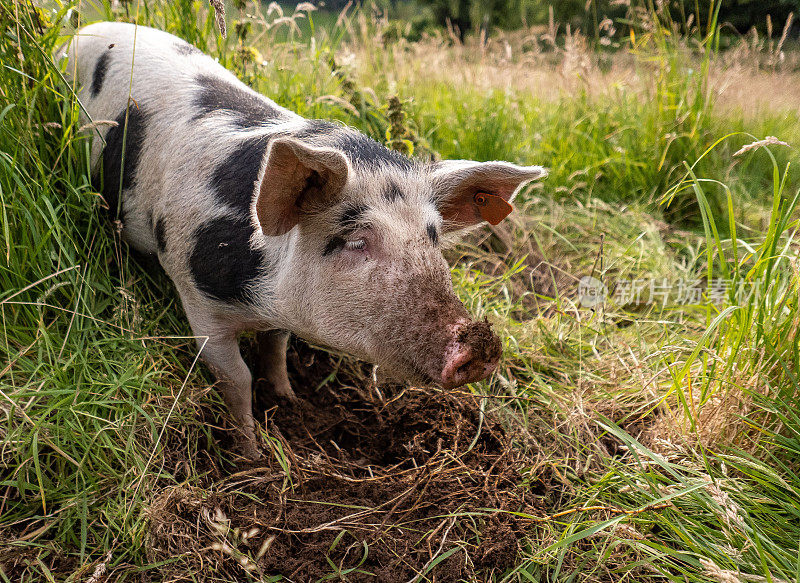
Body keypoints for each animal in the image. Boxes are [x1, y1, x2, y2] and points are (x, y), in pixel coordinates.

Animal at [65, 22, 548, 458]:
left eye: (431, 237)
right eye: (355, 241)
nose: (479, 345)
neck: (262, 299)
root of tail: (84, 29)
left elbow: (276, 349)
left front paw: (289, 400)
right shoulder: (196, 296)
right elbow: (236, 377)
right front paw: (251, 455)